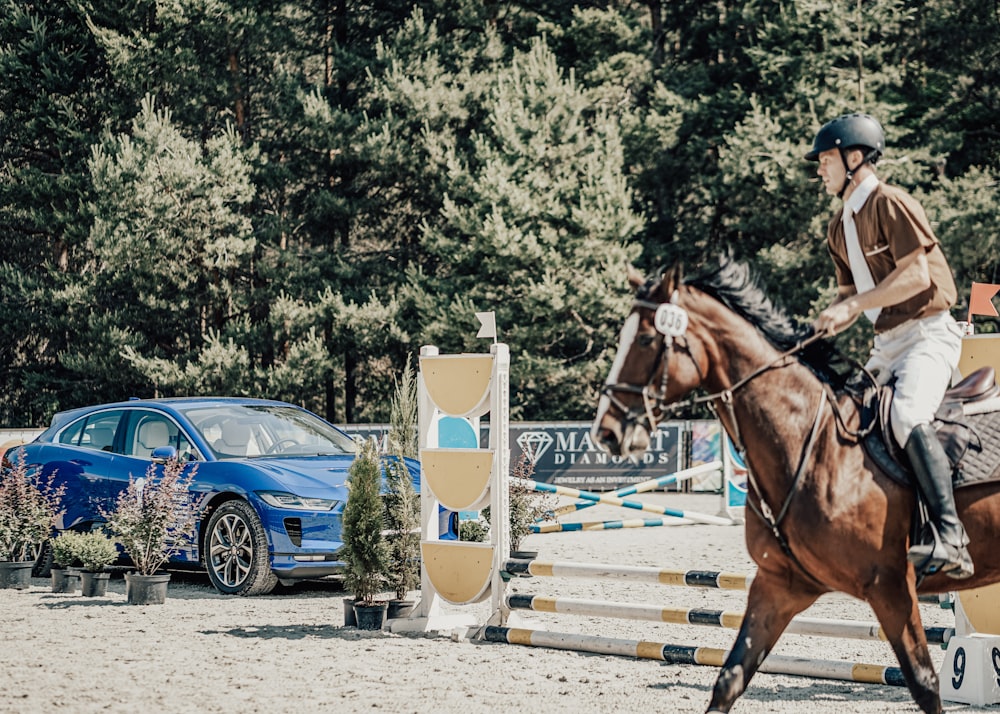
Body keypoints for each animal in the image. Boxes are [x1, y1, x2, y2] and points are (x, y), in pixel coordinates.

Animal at [588, 253, 1000, 708]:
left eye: (645, 340)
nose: (606, 433)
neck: (812, 441)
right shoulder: (779, 586)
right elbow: (730, 679)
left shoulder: (891, 588)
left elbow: (924, 684)